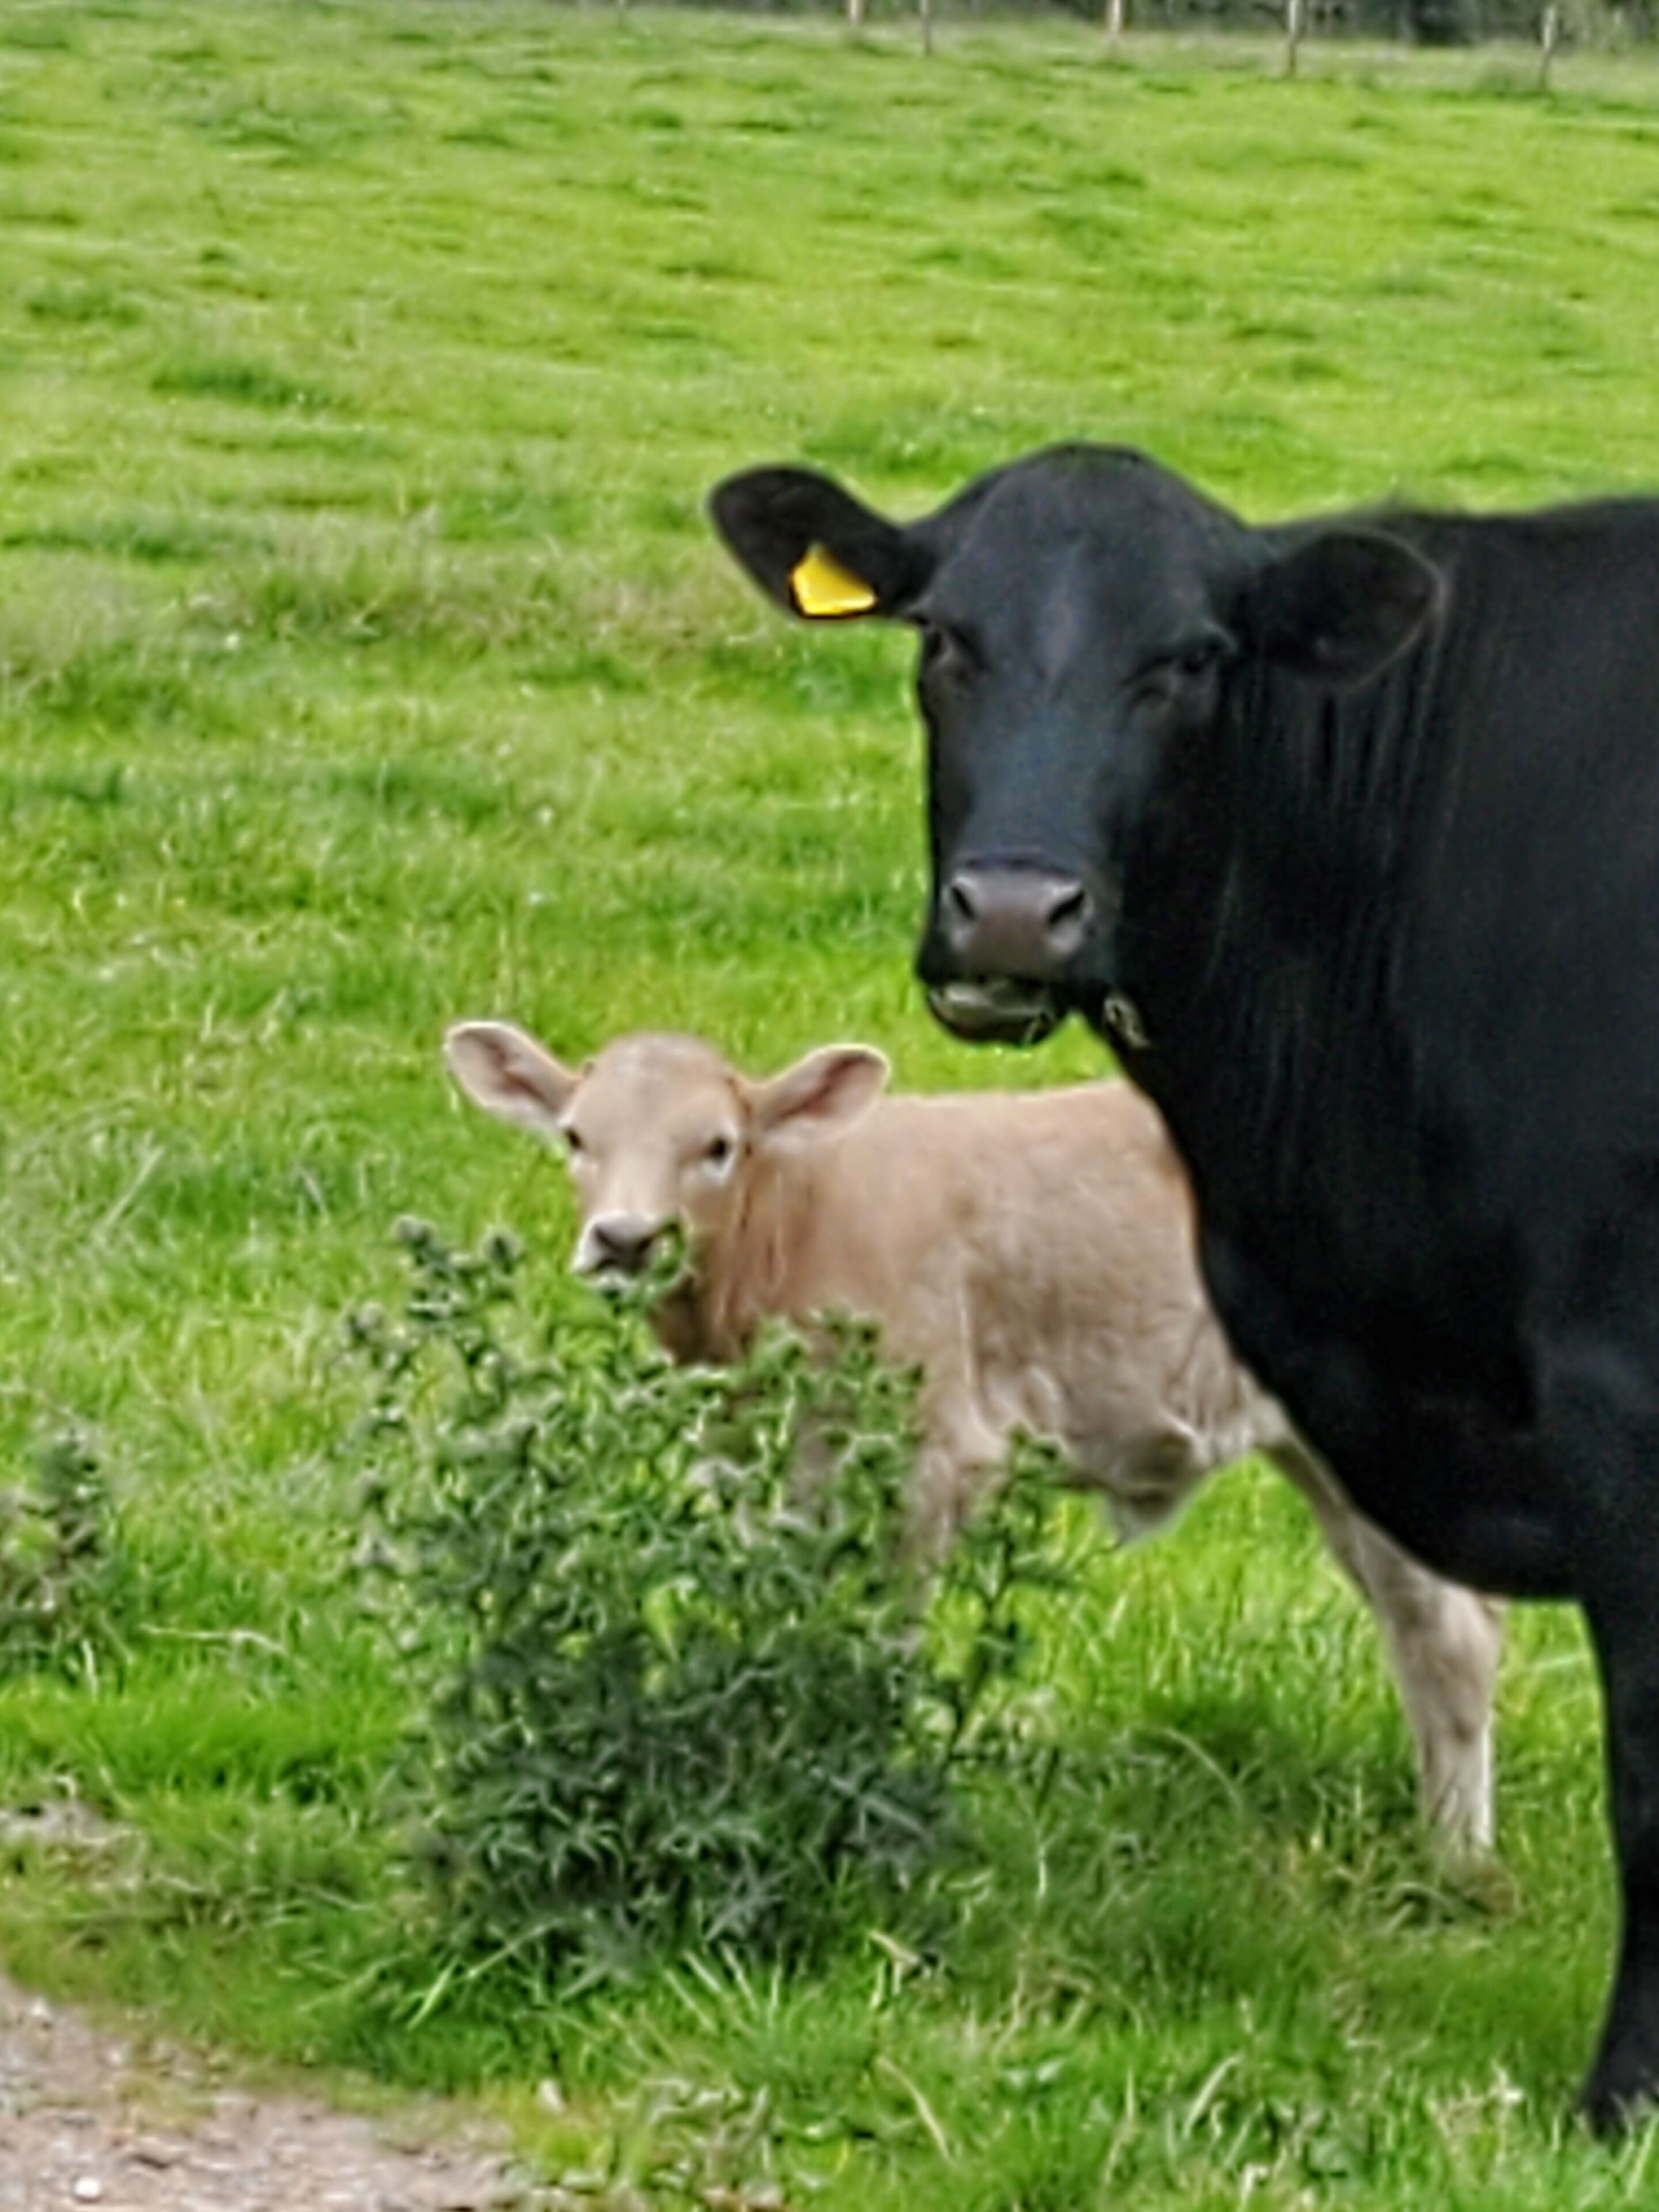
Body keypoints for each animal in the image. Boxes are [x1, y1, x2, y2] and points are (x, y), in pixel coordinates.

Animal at [445, 1018, 1501, 1850]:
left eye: (719, 1146)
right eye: (576, 1137)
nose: (626, 1241)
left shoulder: (935, 1455)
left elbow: (879, 1649)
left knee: (1451, 1634)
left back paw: (1456, 1865)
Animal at [708, 443, 1659, 2122]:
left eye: (1193, 661)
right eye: (942, 637)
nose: (1012, 911)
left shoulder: (1622, 1373)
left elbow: (1650, 1776)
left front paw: (1620, 2101)